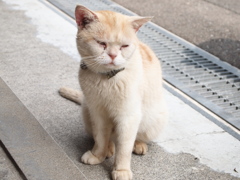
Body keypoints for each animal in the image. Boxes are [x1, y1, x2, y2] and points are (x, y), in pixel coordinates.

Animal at [58, 4, 168, 180]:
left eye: (124, 46)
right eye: (101, 43)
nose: (113, 55)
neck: (106, 80)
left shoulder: (128, 117)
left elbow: (124, 149)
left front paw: (121, 170)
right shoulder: (98, 113)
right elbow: (101, 137)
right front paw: (98, 155)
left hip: (155, 118)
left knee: (136, 138)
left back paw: (138, 145)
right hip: (87, 112)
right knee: (107, 138)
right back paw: (109, 149)